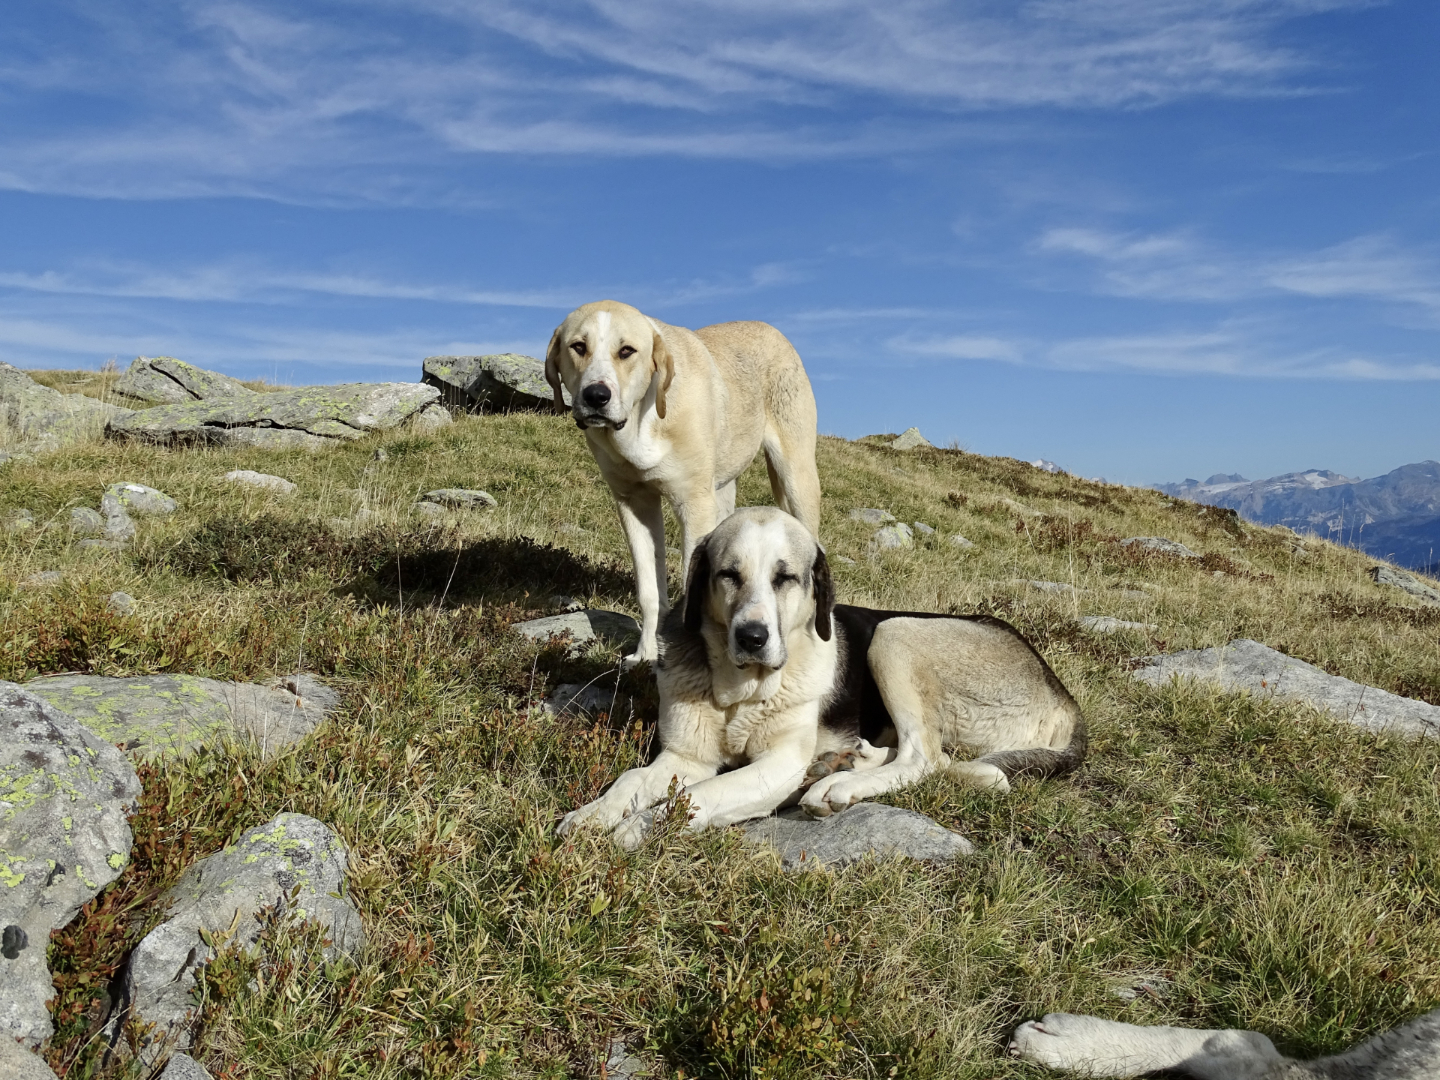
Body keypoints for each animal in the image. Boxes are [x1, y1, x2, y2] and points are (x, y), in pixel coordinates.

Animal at [544, 302, 829, 668]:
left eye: (627, 351)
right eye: (578, 346)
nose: (596, 395)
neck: (642, 422)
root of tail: (770, 328)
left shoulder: (693, 507)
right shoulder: (635, 505)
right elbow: (650, 590)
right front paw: (646, 655)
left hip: (796, 478)